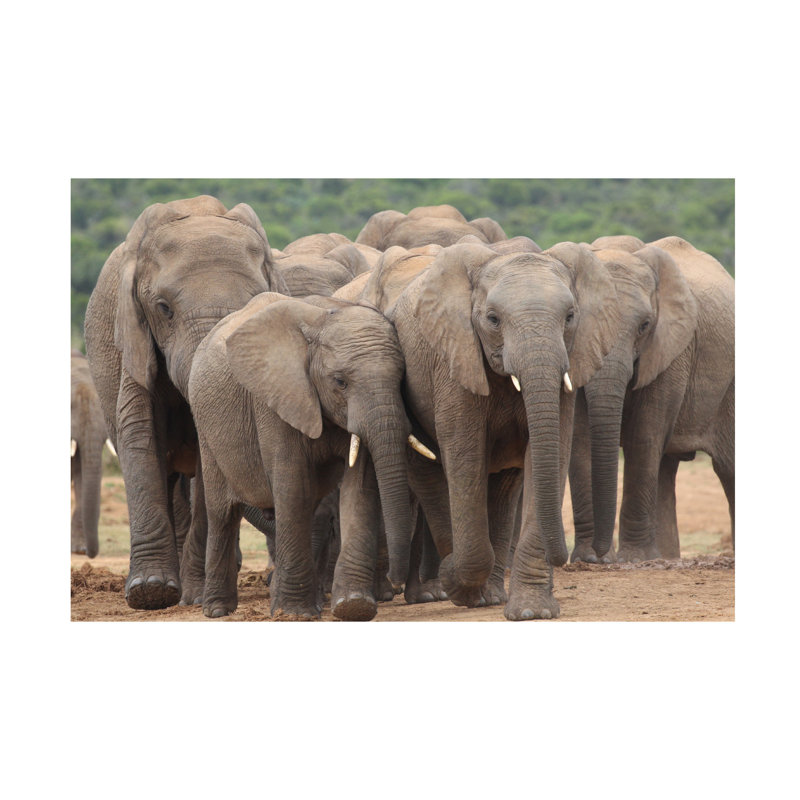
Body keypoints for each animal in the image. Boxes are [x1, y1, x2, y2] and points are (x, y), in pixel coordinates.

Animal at [84, 195, 288, 609]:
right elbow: (139, 432)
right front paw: (149, 592)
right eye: (164, 308)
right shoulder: (134, 338)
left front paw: (195, 596)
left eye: (252, 304)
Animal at [185, 292, 435, 620]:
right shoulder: (276, 400)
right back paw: (217, 609)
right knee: (222, 513)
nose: (395, 583)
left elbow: (359, 488)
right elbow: (293, 487)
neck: (322, 319)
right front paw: (296, 614)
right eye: (340, 382)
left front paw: (353, 605)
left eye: (401, 378)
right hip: (206, 429)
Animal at [345, 238, 625, 619]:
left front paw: (533, 612)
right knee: (432, 476)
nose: (564, 558)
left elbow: (547, 452)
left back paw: (489, 595)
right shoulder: (454, 361)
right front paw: (454, 581)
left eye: (569, 317)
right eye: (493, 319)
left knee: (504, 488)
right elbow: (465, 457)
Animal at [567, 235, 734, 563]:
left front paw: (633, 559)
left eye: (644, 326)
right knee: (667, 468)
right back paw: (665, 559)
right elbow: (580, 438)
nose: (603, 556)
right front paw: (586, 559)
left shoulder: (672, 349)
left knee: (728, 467)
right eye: (574, 318)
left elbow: (643, 437)